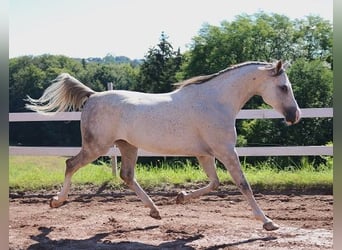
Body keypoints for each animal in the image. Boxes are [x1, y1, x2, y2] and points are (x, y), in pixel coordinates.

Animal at [26, 60, 300, 230]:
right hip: (97, 147)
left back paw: (155, 210)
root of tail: (93, 96)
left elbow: (215, 183)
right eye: (284, 87)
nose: (294, 116)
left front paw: (180, 197)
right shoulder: (225, 151)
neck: (215, 101)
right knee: (70, 164)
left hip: (127, 146)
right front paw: (268, 222)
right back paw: (56, 201)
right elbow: (243, 185)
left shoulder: (206, 154)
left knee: (127, 176)